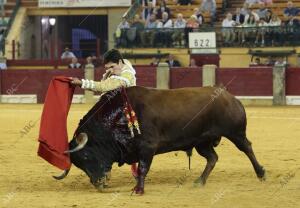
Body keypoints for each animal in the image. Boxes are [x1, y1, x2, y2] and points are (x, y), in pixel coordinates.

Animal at [53, 85, 264, 193]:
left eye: (86, 156)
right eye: (78, 164)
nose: (97, 183)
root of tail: (230, 97)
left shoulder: (148, 147)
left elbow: (143, 168)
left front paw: (138, 190)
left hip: (235, 132)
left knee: (247, 148)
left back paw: (261, 173)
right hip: (201, 142)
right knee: (212, 158)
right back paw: (199, 181)